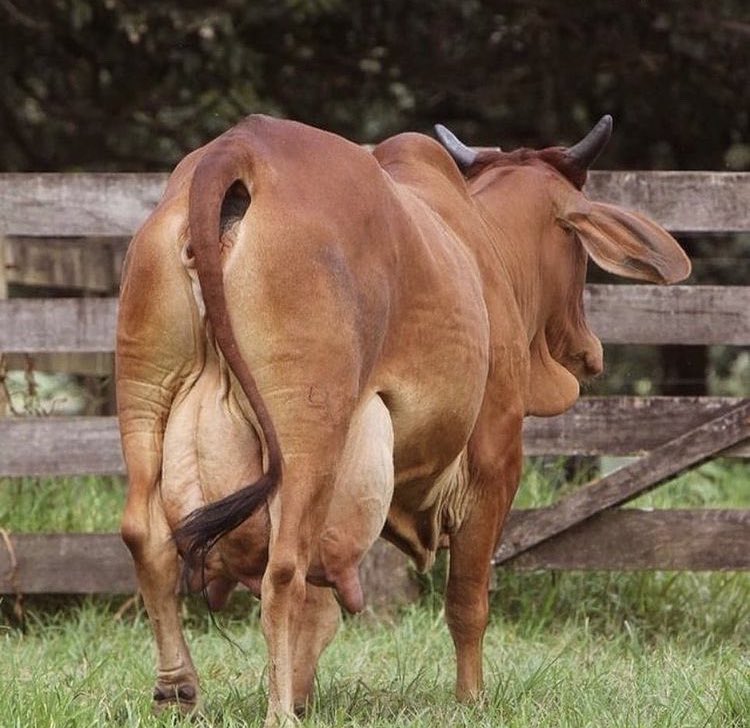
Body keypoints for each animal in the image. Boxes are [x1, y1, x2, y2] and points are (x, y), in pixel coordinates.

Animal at [116, 113, 690, 724]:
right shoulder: (495, 458)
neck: (485, 243)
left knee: (147, 539)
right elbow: (467, 599)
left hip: (144, 395)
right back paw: (279, 712)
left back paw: (177, 691)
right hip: (306, 431)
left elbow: (322, 610)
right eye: (578, 250)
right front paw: (471, 699)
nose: (590, 351)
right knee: (283, 569)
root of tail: (240, 149)